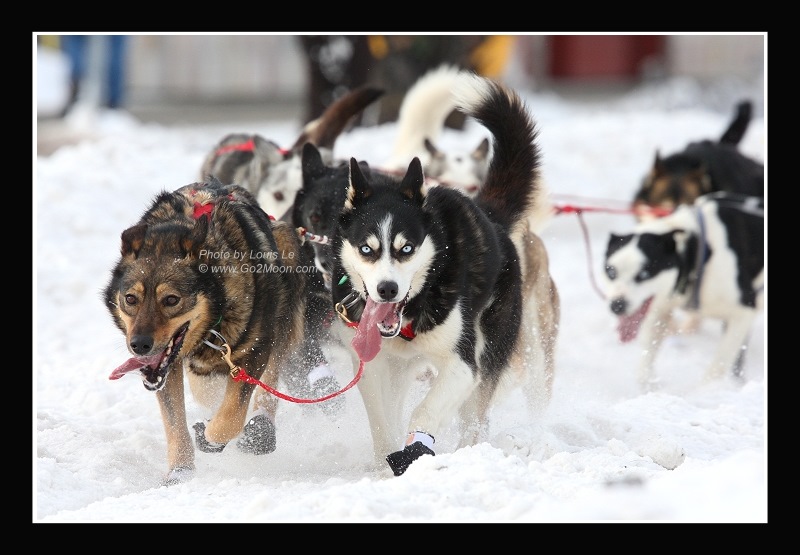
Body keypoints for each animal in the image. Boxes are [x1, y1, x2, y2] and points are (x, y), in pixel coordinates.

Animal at [330, 71, 544, 476]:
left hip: (488, 356)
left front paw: (414, 451)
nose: (386, 289)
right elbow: (382, 421)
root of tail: (488, 215)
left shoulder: (463, 367)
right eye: (367, 249)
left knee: (475, 420)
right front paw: (384, 465)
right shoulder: (371, 365)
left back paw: (468, 454)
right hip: (401, 368)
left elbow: (424, 410)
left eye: (406, 248)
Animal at [604, 193, 764, 388]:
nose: (617, 305)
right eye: (611, 272)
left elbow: (717, 368)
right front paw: (649, 385)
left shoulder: (743, 312)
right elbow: (646, 360)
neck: (697, 249)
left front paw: (706, 392)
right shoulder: (661, 309)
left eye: (644, 274)